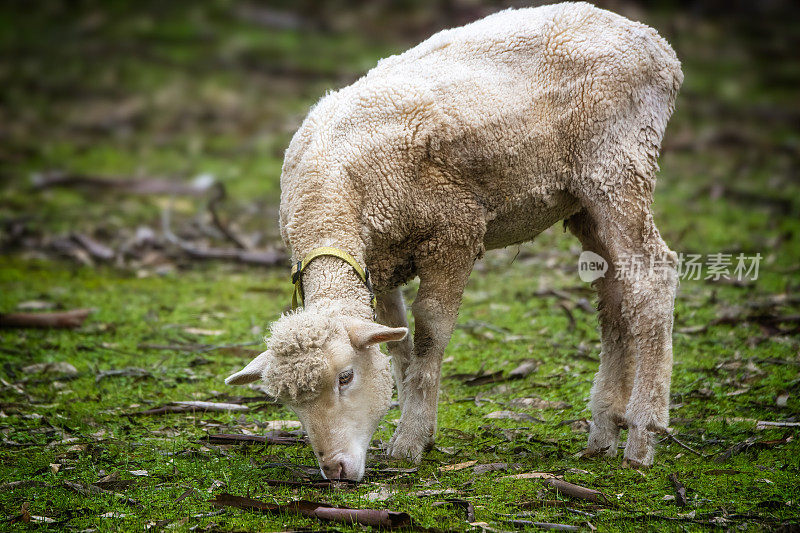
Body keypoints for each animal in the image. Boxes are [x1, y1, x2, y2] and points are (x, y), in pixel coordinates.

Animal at [225, 1, 680, 482]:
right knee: (614, 295)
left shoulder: (454, 231)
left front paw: (410, 441)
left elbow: (429, 331)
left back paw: (642, 436)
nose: (335, 469)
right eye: (287, 402)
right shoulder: (380, 264)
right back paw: (603, 432)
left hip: (618, 164)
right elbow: (398, 344)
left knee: (653, 278)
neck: (328, 200)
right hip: (583, 198)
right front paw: (412, 425)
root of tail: (654, 42)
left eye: (345, 377)